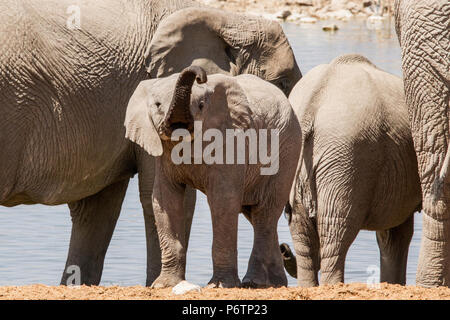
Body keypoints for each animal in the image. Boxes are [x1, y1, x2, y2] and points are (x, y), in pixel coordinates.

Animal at [124, 66, 302, 288]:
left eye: (201, 106)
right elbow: (165, 200)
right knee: (255, 213)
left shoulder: (231, 140)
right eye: (157, 105)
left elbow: (222, 201)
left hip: (287, 150)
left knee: (265, 213)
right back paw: (275, 283)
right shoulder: (164, 156)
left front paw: (220, 285)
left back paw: (256, 283)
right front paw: (166, 285)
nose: (201, 76)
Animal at [284, 55, 420, 288]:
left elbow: (393, 234)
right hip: (348, 155)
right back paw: (334, 286)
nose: (283, 250)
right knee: (335, 229)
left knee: (303, 231)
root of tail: (312, 104)